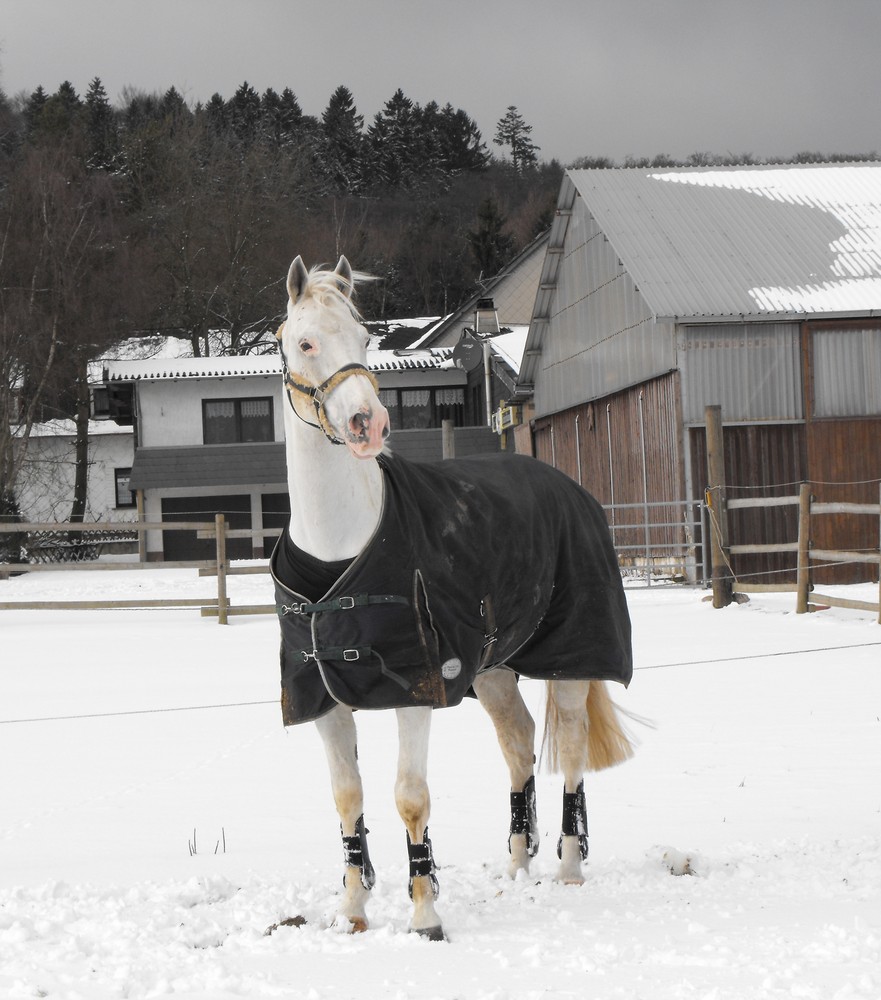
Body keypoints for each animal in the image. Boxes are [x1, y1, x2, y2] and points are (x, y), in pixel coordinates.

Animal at [270, 256, 632, 936]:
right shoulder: (323, 699)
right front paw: (352, 910)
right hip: (491, 670)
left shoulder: (416, 689)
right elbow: (348, 798)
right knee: (518, 745)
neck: (341, 553)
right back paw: (517, 863)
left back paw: (569, 866)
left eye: (363, 339)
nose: (368, 424)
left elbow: (411, 799)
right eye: (305, 342)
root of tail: (570, 488)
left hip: (572, 661)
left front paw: (425, 914)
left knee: (569, 749)